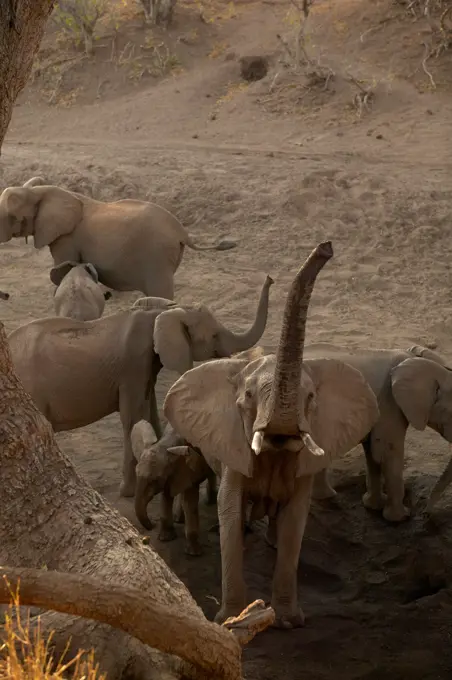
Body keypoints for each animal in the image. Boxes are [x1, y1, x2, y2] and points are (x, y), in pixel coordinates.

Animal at [0, 181, 238, 298]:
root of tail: (182, 231)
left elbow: (62, 269)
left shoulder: (66, 237)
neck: (41, 191)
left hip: (156, 255)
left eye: (13, 217)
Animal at [8, 276, 274, 500]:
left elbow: (150, 408)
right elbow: (132, 417)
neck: (162, 312)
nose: (269, 278)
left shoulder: (146, 366)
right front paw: (128, 492)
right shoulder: (132, 367)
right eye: (214, 336)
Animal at [162, 242, 378, 628]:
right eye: (248, 397)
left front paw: (288, 621)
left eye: (311, 398)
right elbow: (230, 509)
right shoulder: (233, 441)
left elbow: (295, 519)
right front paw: (231, 620)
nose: (326, 247)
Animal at [304, 342, 452, 524]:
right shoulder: (389, 401)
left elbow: (373, 454)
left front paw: (372, 506)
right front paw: (400, 518)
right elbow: (387, 452)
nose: (425, 515)